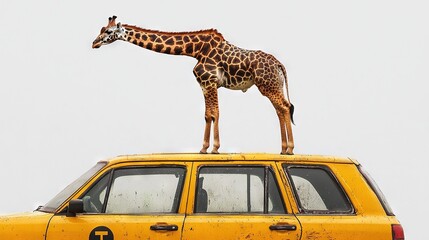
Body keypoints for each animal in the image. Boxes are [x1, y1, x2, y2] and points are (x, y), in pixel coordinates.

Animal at [92, 15, 294, 155]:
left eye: (108, 32)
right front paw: (204, 148)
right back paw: (283, 149)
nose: (94, 43)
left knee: (284, 107)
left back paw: (290, 148)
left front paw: (214, 148)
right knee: (281, 109)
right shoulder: (205, 85)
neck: (194, 50)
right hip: (273, 86)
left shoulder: (210, 81)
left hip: (268, 86)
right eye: (101, 29)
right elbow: (207, 115)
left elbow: (215, 113)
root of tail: (279, 64)